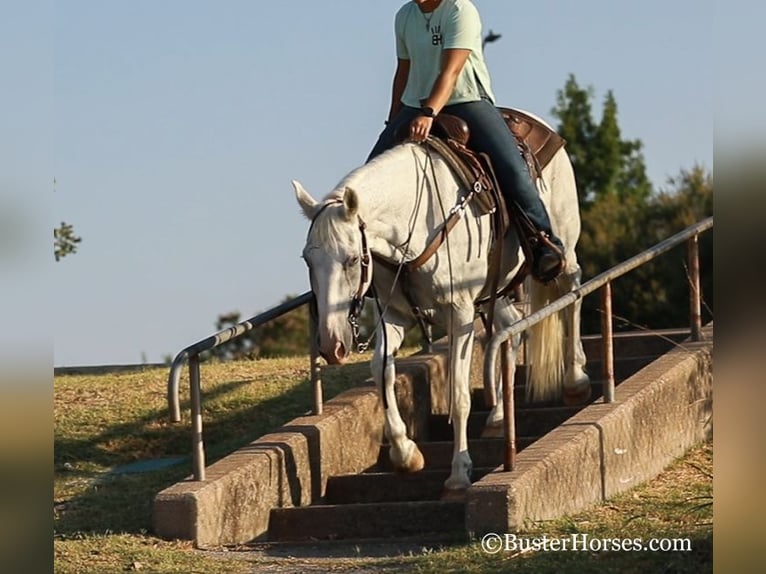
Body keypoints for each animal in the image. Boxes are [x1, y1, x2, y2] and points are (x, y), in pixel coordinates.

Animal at [296, 122, 592, 500]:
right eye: (307, 260)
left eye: (350, 259)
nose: (331, 345)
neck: (415, 226)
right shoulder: (395, 315)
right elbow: (381, 371)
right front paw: (406, 454)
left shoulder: (460, 314)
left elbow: (459, 394)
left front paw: (458, 474)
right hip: (493, 292)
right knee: (508, 331)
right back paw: (499, 415)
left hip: (564, 249)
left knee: (573, 293)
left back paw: (576, 377)